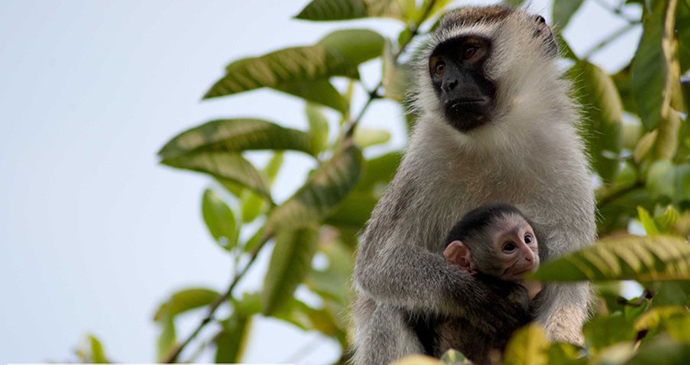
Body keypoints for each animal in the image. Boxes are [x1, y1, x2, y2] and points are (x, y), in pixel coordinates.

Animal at [352, 5, 592, 364]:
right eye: (439, 68)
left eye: (469, 52)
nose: (450, 84)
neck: (495, 139)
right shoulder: (427, 150)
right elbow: (376, 263)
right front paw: (470, 293)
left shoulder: (567, 159)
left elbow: (566, 289)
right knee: (390, 310)